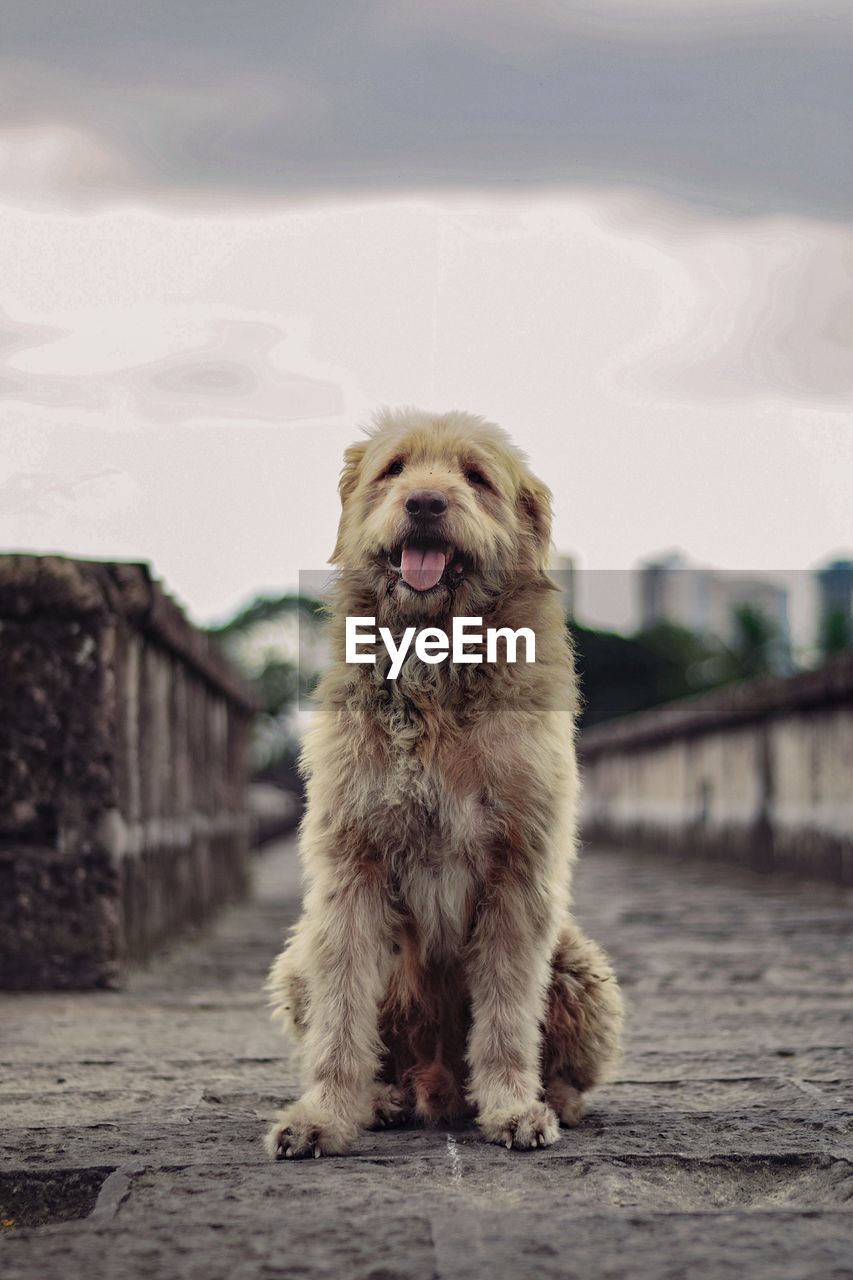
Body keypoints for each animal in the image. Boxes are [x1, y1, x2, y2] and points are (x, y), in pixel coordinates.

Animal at [262, 409, 622, 1162]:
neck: (434, 667)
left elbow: (508, 1012)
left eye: (476, 477)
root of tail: (435, 1085)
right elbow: (341, 1016)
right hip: (299, 957)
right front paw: (323, 1114)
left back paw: (553, 1100)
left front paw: (512, 1105)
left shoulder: (519, 869)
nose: (425, 503)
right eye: (395, 468)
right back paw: (381, 1099)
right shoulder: (351, 866)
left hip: (580, 966)